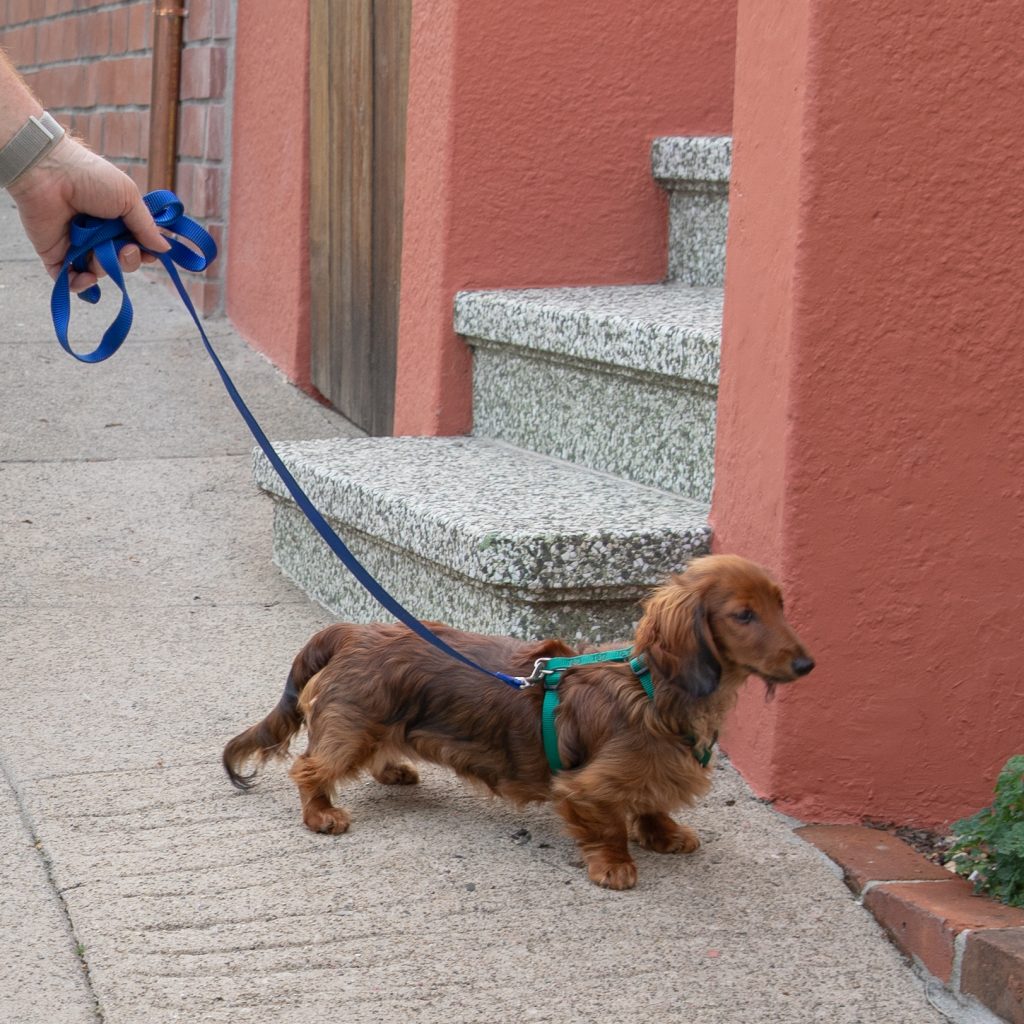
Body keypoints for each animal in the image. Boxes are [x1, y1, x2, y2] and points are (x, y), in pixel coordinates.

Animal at [224, 557, 815, 884]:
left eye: (781, 604)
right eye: (743, 614)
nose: (808, 664)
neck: (653, 692)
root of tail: (352, 631)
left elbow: (650, 803)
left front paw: (664, 834)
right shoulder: (585, 787)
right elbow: (608, 823)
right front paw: (615, 864)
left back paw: (393, 769)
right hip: (352, 729)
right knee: (309, 769)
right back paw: (321, 812)